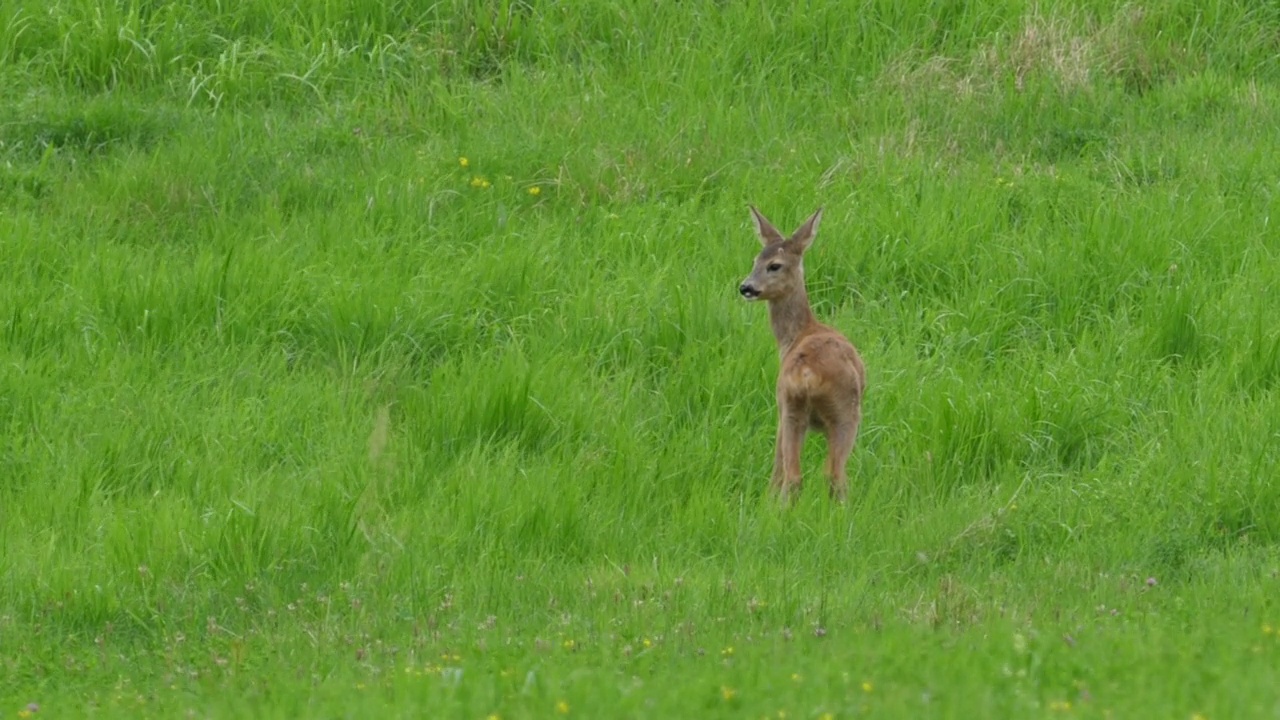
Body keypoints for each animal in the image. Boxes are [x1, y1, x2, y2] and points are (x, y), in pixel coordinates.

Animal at [742, 204, 870, 502]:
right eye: (756, 261)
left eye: (773, 265)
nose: (746, 287)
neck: (797, 335)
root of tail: (808, 373)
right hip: (842, 413)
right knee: (833, 476)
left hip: (791, 405)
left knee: (794, 476)